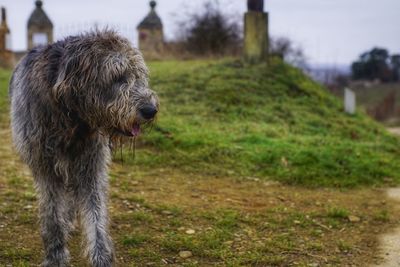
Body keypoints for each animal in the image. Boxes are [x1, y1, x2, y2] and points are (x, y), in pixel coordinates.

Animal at [7, 30, 158, 266]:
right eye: (117, 76)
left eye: (138, 75)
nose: (151, 110)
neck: (71, 117)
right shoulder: (45, 166)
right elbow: (52, 213)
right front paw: (56, 256)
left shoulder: (90, 163)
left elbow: (95, 212)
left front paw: (101, 257)